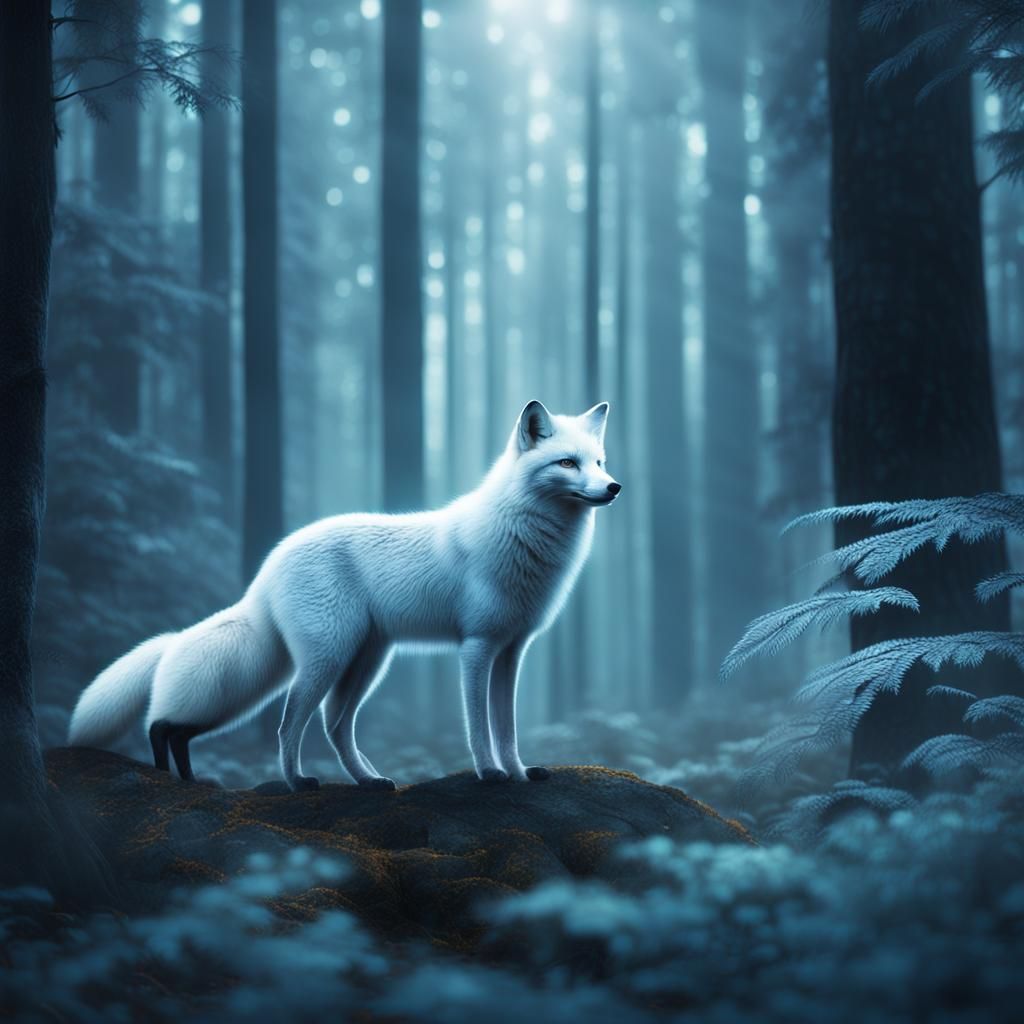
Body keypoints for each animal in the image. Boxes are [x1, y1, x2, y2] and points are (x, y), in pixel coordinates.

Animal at [68, 400, 621, 792]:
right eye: (567, 463)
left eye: (597, 461)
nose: (613, 487)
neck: (525, 537)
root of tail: (268, 567)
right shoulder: (477, 646)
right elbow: (479, 727)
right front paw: (490, 774)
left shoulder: (512, 650)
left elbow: (507, 727)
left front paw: (521, 774)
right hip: (327, 659)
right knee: (269, 725)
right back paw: (291, 783)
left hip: (365, 661)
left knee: (329, 726)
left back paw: (364, 781)